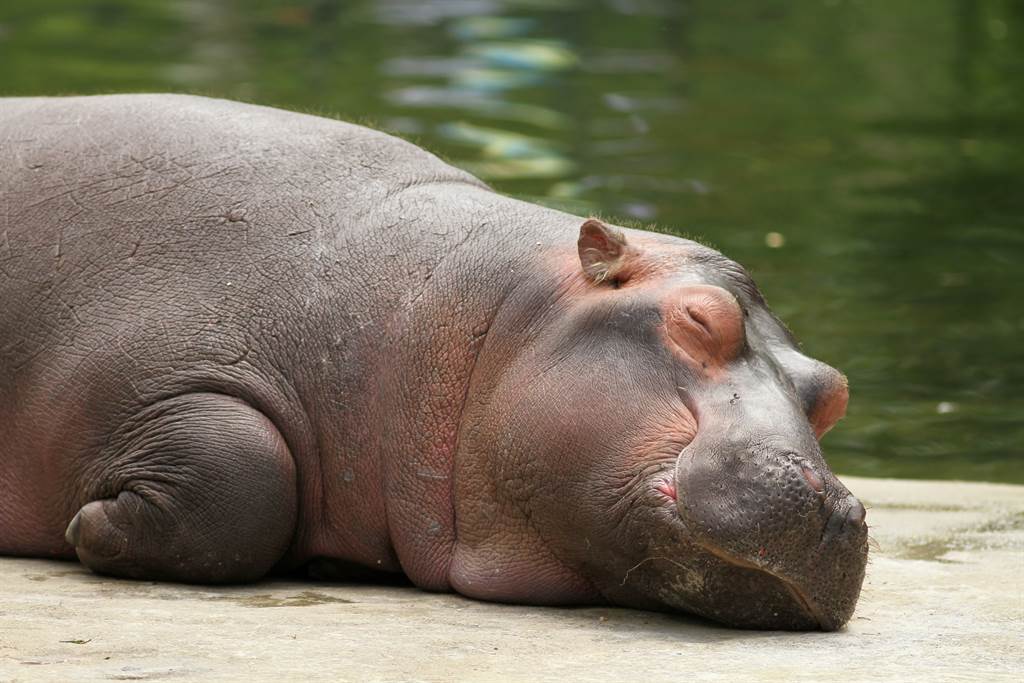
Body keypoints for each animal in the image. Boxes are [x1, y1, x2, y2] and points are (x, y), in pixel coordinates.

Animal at [0, 94, 864, 630]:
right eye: (698, 317)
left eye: (832, 390)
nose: (837, 506)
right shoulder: (152, 375)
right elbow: (244, 466)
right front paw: (90, 527)